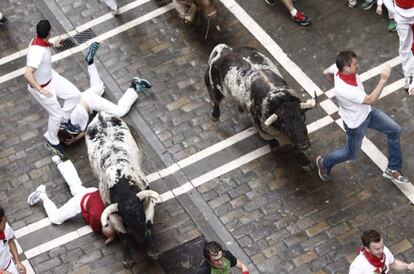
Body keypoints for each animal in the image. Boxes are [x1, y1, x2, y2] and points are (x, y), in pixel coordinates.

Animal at [85, 111, 161, 268]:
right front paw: (128, 259)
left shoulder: (147, 203)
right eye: (127, 219)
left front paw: (152, 251)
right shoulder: (114, 216)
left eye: (141, 214)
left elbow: (149, 225)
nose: (141, 237)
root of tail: (100, 114)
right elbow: (123, 236)